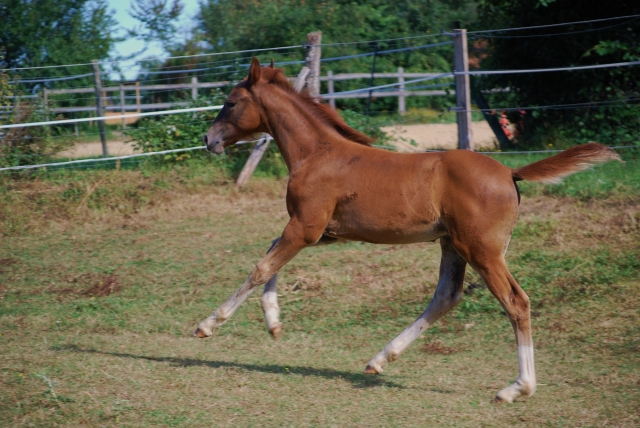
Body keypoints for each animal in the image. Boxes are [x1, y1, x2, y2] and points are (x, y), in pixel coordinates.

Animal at [196, 58, 620, 402]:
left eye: (231, 102)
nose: (208, 139)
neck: (317, 154)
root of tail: (509, 172)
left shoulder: (306, 228)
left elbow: (262, 266)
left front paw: (208, 324)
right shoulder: (322, 233)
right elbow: (271, 256)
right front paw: (274, 323)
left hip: (482, 251)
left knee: (515, 302)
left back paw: (517, 388)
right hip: (453, 245)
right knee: (446, 296)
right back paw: (381, 358)